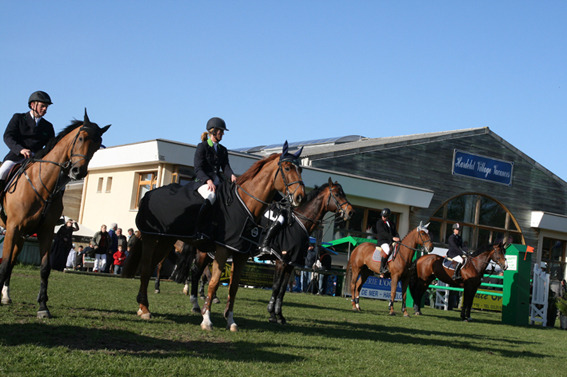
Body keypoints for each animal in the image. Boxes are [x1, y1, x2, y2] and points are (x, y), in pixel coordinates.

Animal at [0, 109, 109, 318]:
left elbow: (44, 268)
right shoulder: (12, 227)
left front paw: (43, 306)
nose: (78, 171)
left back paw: (6, 296)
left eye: (97, 145)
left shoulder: (45, 231)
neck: (42, 183)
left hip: (21, 235)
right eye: (81, 138)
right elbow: (4, 263)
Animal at [122, 142, 304, 330]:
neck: (246, 205)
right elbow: (214, 281)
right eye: (288, 167)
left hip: (165, 241)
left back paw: (143, 305)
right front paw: (207, 319)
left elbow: (233, 287)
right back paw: (145, 309)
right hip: (151, 239)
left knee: (153, 267)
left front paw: (230, 320)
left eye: (301, 169)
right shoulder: (223, 250)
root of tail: (148, 194)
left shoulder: (241, 254)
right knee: (146, 269)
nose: (300, 197)